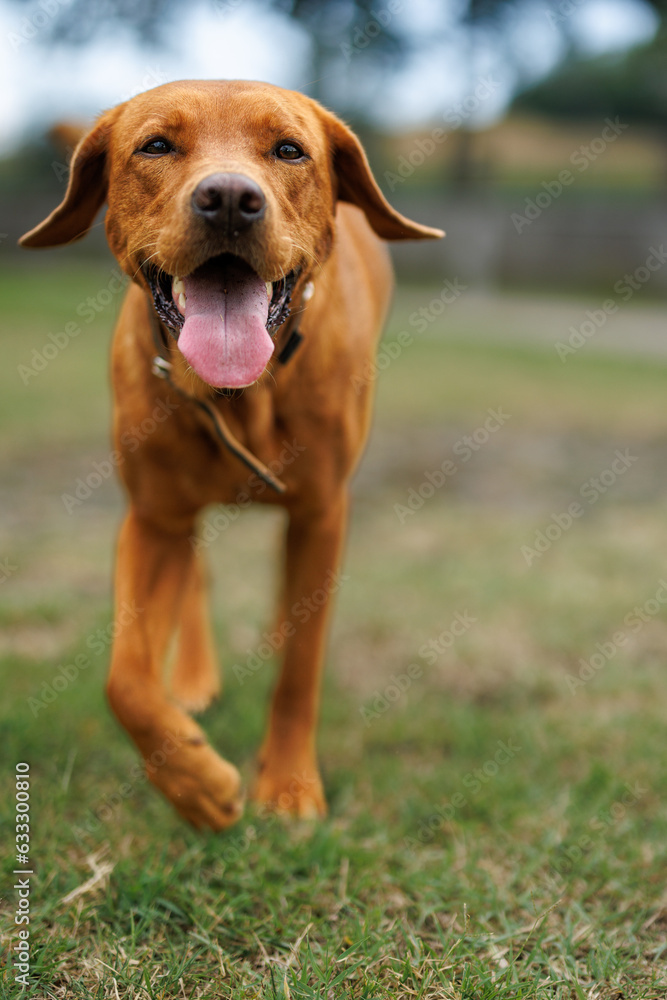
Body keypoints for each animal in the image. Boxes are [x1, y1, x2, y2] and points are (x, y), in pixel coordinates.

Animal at [20, 80, 440, 828]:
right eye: (156, 145)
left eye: (289, 150)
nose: (228, 199)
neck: (234, 394)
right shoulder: (153, 521)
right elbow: (125, 679)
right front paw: (195, 784)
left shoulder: (322, 514)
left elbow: (300, 667)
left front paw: (290, 786)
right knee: (197, 574)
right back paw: (191, 679)